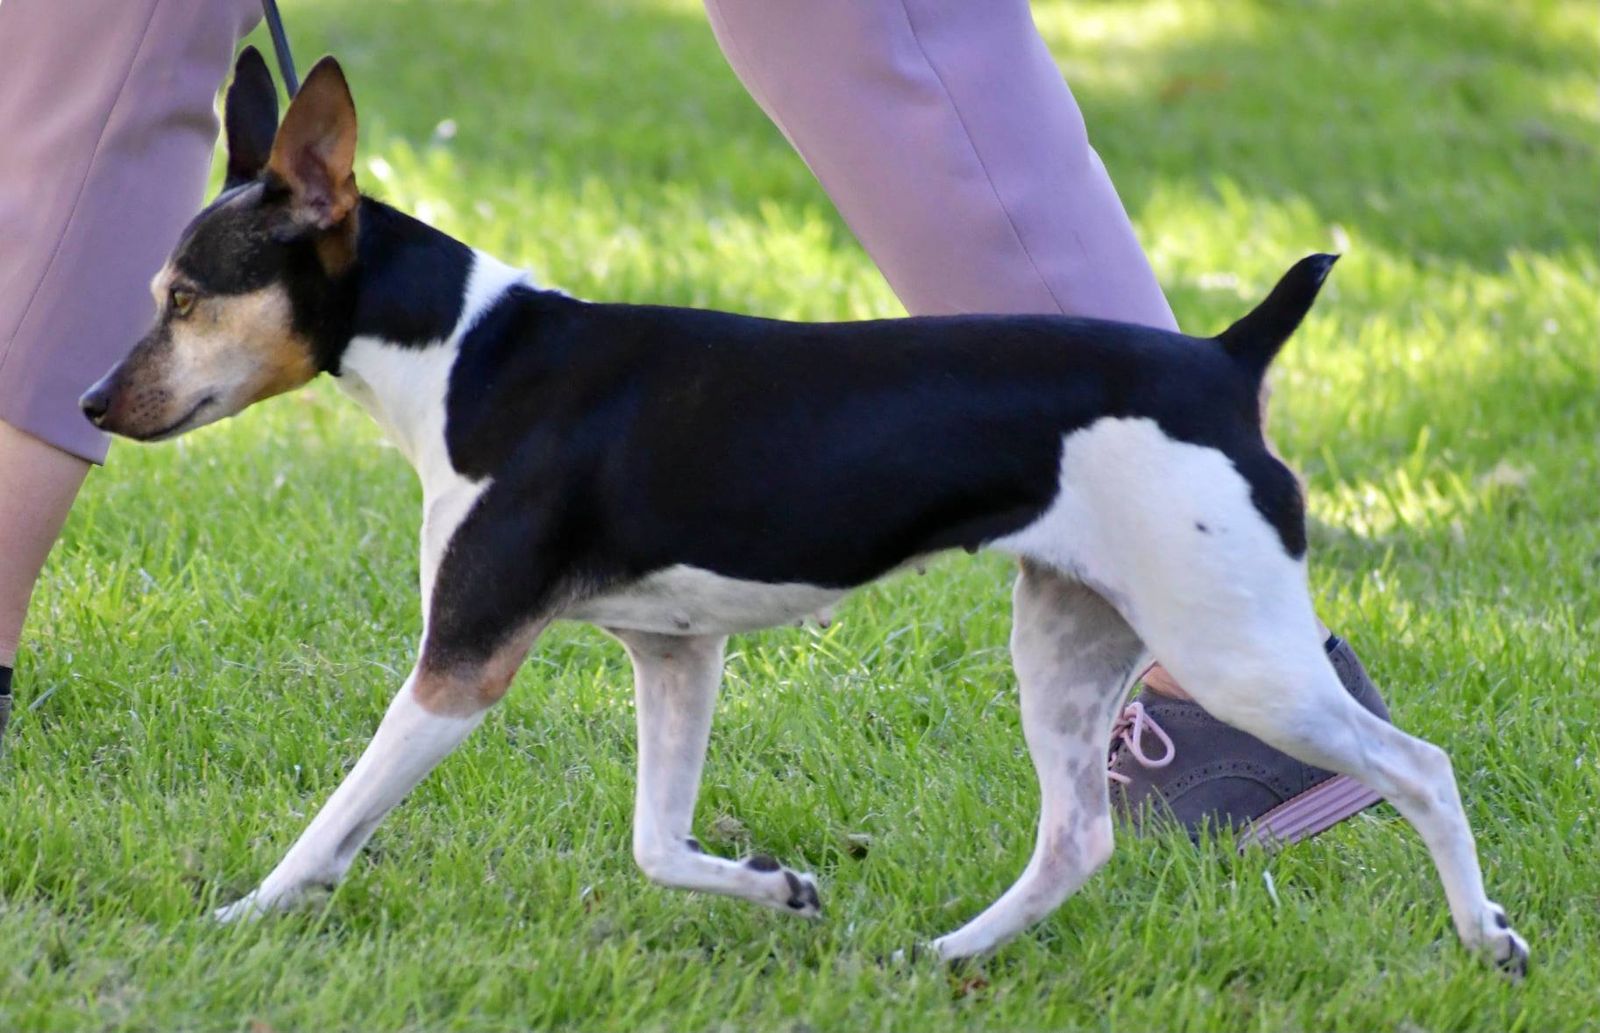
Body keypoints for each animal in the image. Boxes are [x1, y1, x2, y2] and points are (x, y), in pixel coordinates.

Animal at [81, 49, 1526, 974]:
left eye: (187, 299)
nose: (92, 401)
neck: (469, 353)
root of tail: (1227, 361)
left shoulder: (461, 666)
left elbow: (335, 820)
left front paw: (245, 918)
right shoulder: (677, 653)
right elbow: (658, 842)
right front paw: (777, 888)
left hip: (1233, 654)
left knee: (1418, 767)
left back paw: (1485, 937)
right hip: (1069, 642)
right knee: (1077, 837)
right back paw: (949, 952)